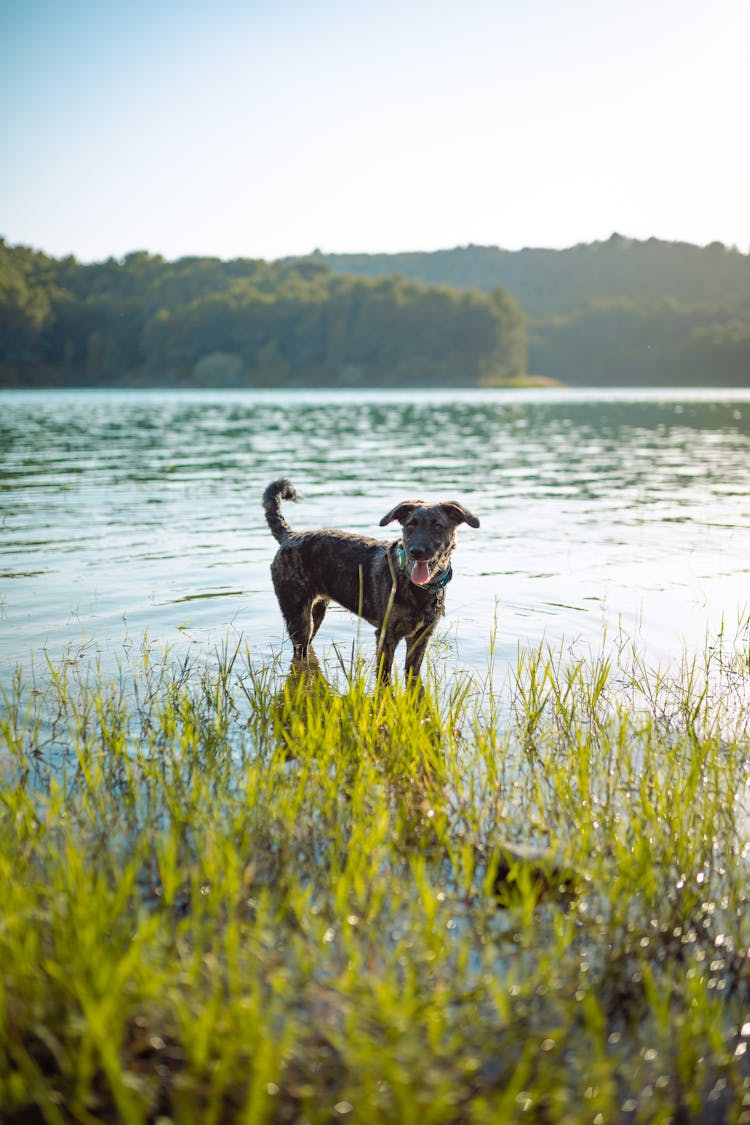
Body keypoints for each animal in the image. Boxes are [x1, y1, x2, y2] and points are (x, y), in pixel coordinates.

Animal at [260, 479, 479, 679]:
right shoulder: (386, 635)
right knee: (300, 649)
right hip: (298, 617)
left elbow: (413, 678)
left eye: (437, 526)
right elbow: (384, 677)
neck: (414, 586)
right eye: (410, 525)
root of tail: (290, 536)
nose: (416, 551)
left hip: (317, 612)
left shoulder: (421, 637)